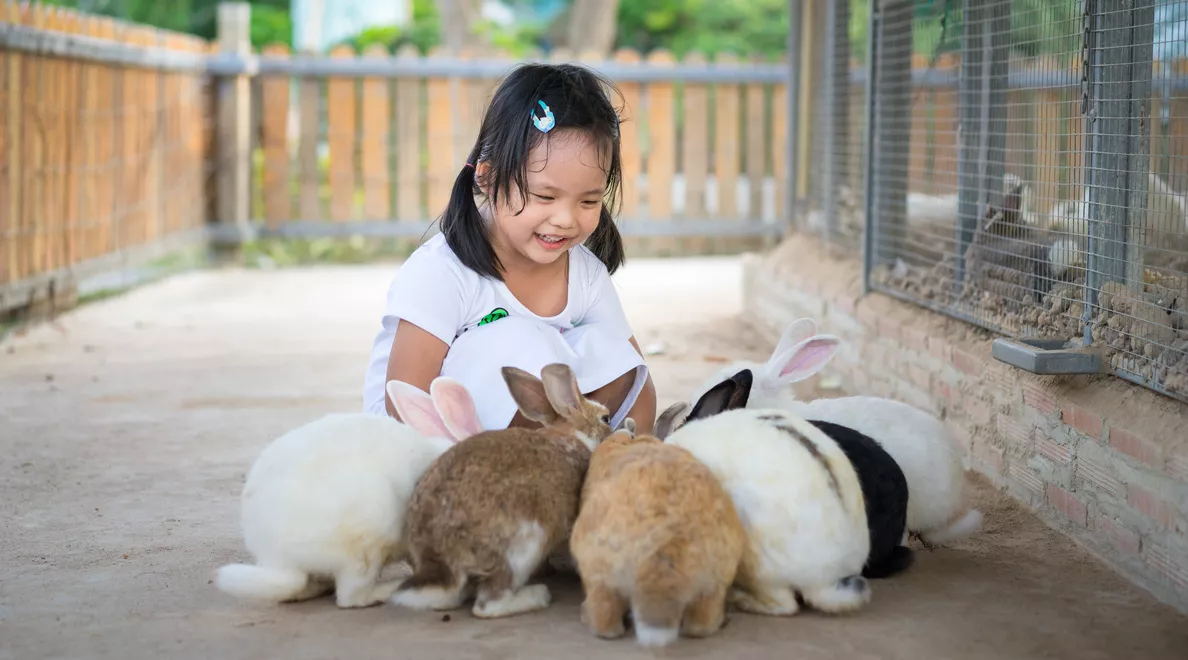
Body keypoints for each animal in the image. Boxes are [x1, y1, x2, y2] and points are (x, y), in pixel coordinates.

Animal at [389, 360, 617, 617]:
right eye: (606, 418)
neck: (574, 435)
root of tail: (440, 558)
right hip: (525, 545)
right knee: (488, 603)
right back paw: (537, 595)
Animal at [567, 417, 741, 650]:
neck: (627, 443)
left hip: (598, 574)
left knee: (605, 619)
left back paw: (589, 617)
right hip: (714, 583)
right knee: (702, 624)